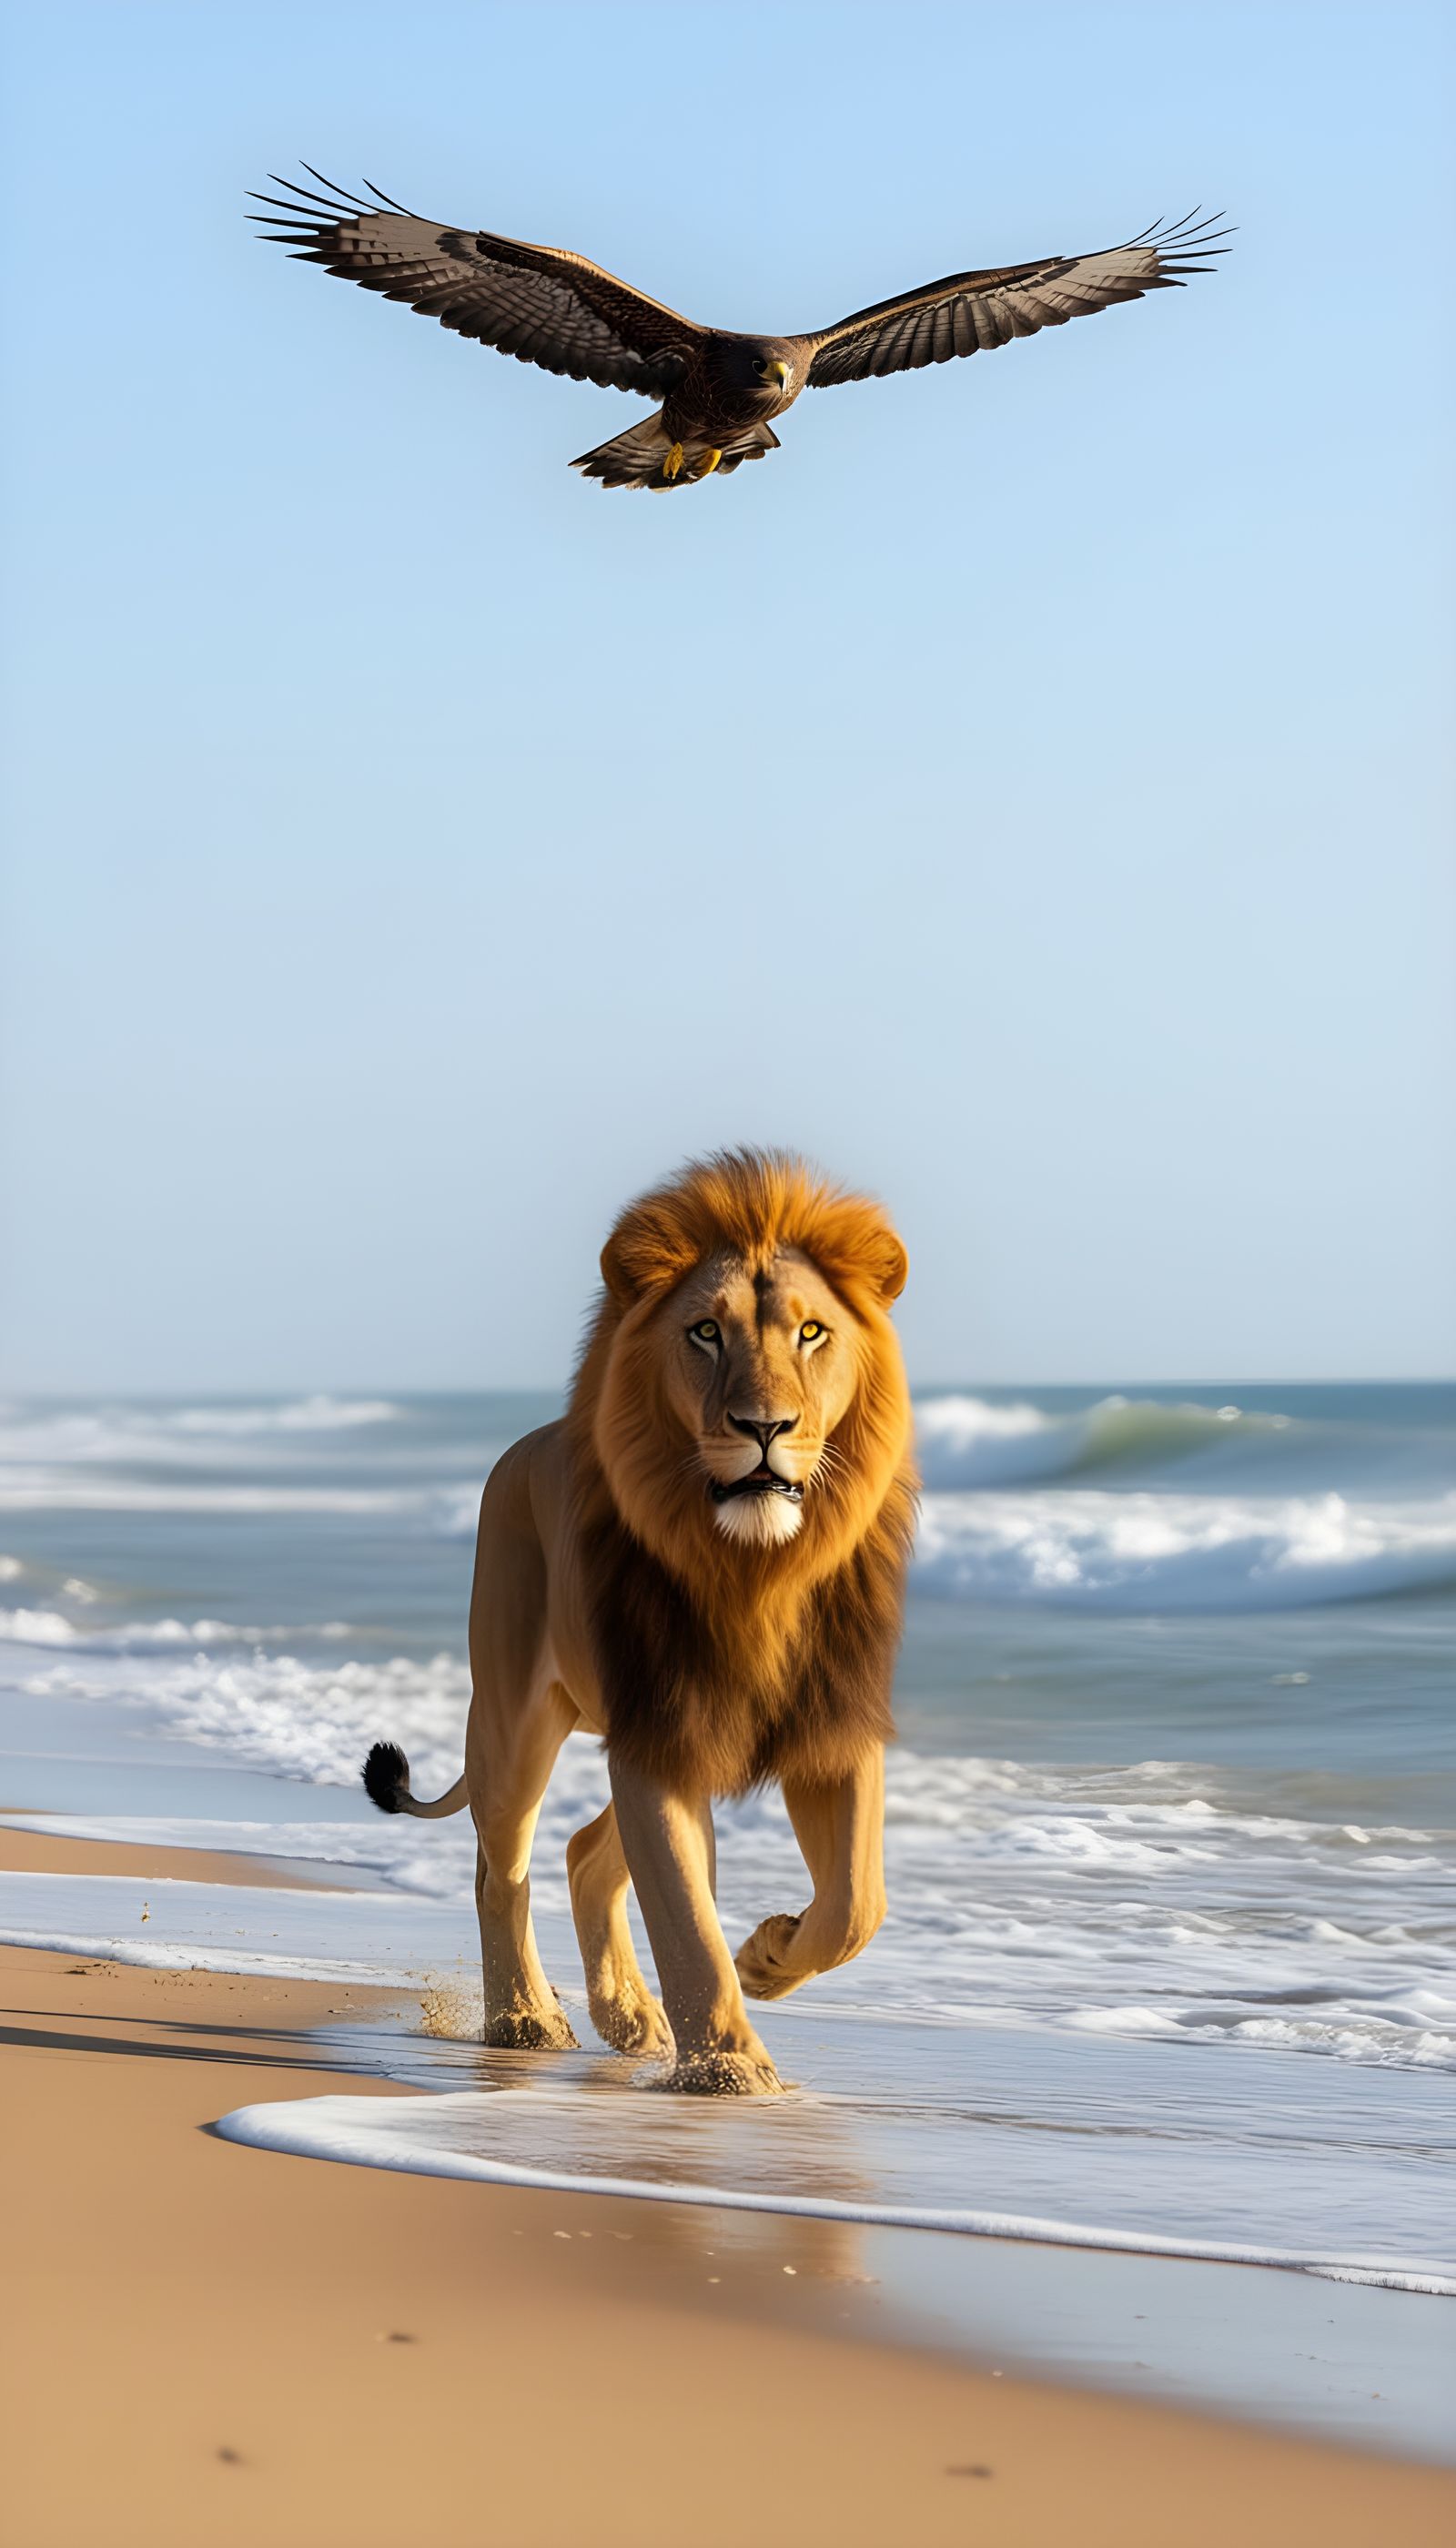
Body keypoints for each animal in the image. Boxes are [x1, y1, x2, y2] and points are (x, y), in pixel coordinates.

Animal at [362, 1148, 917, 2094]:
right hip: (514, 1721)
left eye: (812, 1333)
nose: (763, 1426)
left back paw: (627, 2017)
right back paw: (524, 2020)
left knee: (586, 1850)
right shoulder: (660, 1728)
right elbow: (686, 1919)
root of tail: (525, 1447)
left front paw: (768, 1956)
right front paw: (731, 2070)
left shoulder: (829, 1726)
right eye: (706, 1333)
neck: (754, 1572)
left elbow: (856, 1902)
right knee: (499, 1866)